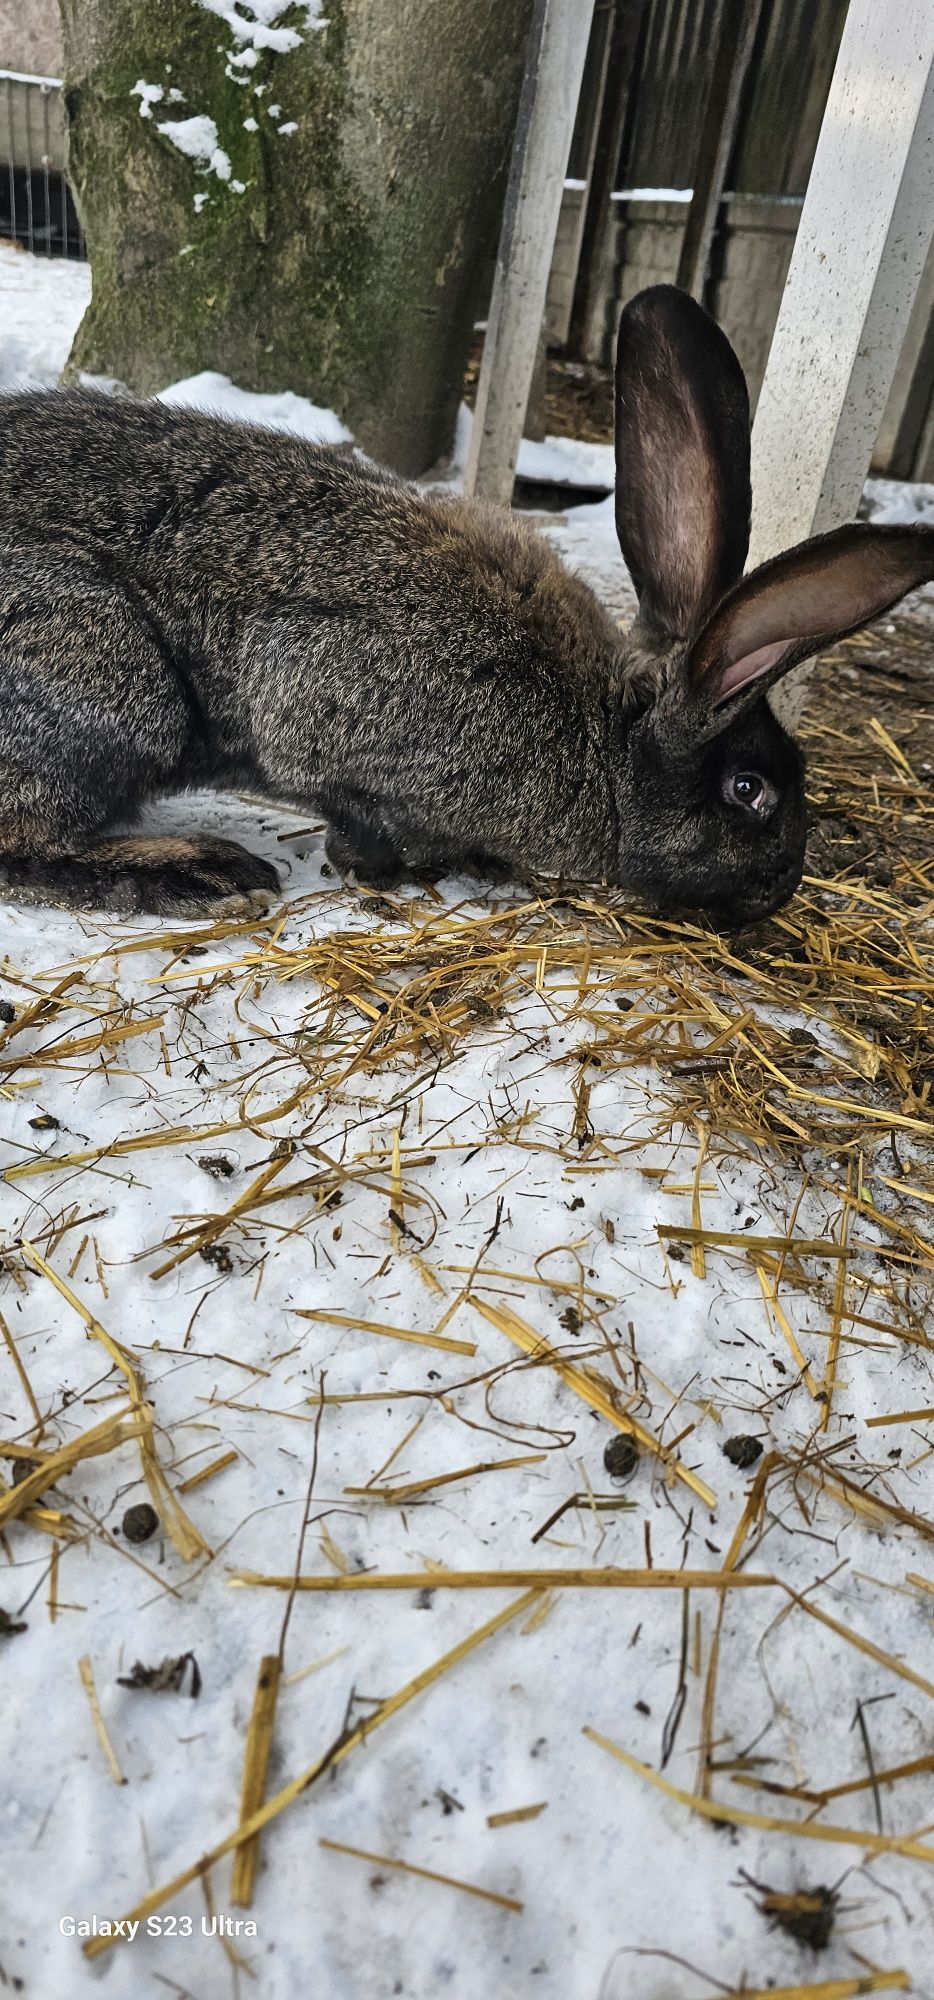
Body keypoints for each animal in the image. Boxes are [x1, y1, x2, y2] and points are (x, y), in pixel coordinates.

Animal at [1, 282, 934, 928]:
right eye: (749, 791)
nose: (781, 890)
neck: (606, 738)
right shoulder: (328, 721)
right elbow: (359, 819)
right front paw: (405, 868)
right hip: (107, 672)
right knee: (25, 845)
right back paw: (204, 873)